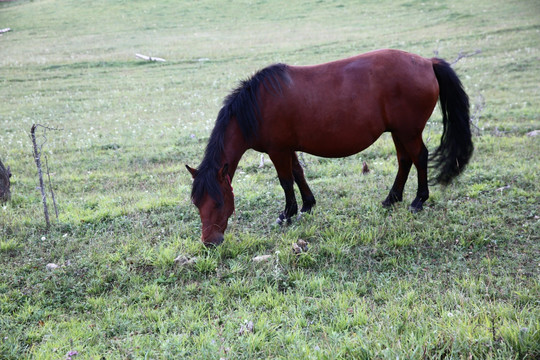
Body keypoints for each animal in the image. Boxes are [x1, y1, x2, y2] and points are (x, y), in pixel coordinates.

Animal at [186, 49, 472, 246]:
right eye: (197, 204)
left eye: (219, 203)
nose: (209, 243)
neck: (257, 106)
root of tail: (427, 62)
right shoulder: (288, 149)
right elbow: (298, 173)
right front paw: (307, 205)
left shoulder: (277, 151)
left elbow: (285, 181)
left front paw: (287, 214)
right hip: (399, 132)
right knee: (405, 160)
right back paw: (392, 198)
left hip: (408, 132)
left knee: (419, 157)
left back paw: (418, 200)